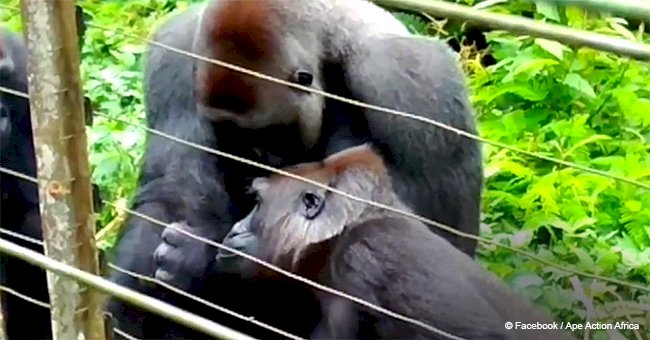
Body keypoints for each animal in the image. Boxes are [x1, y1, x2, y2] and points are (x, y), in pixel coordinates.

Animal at [106, 0, 480, 338]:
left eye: (266, 134)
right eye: (228, 135)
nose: (251, 166)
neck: (329, 47)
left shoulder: (413, 85)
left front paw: (198, 260)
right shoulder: (176, 51)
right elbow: (170, 196)